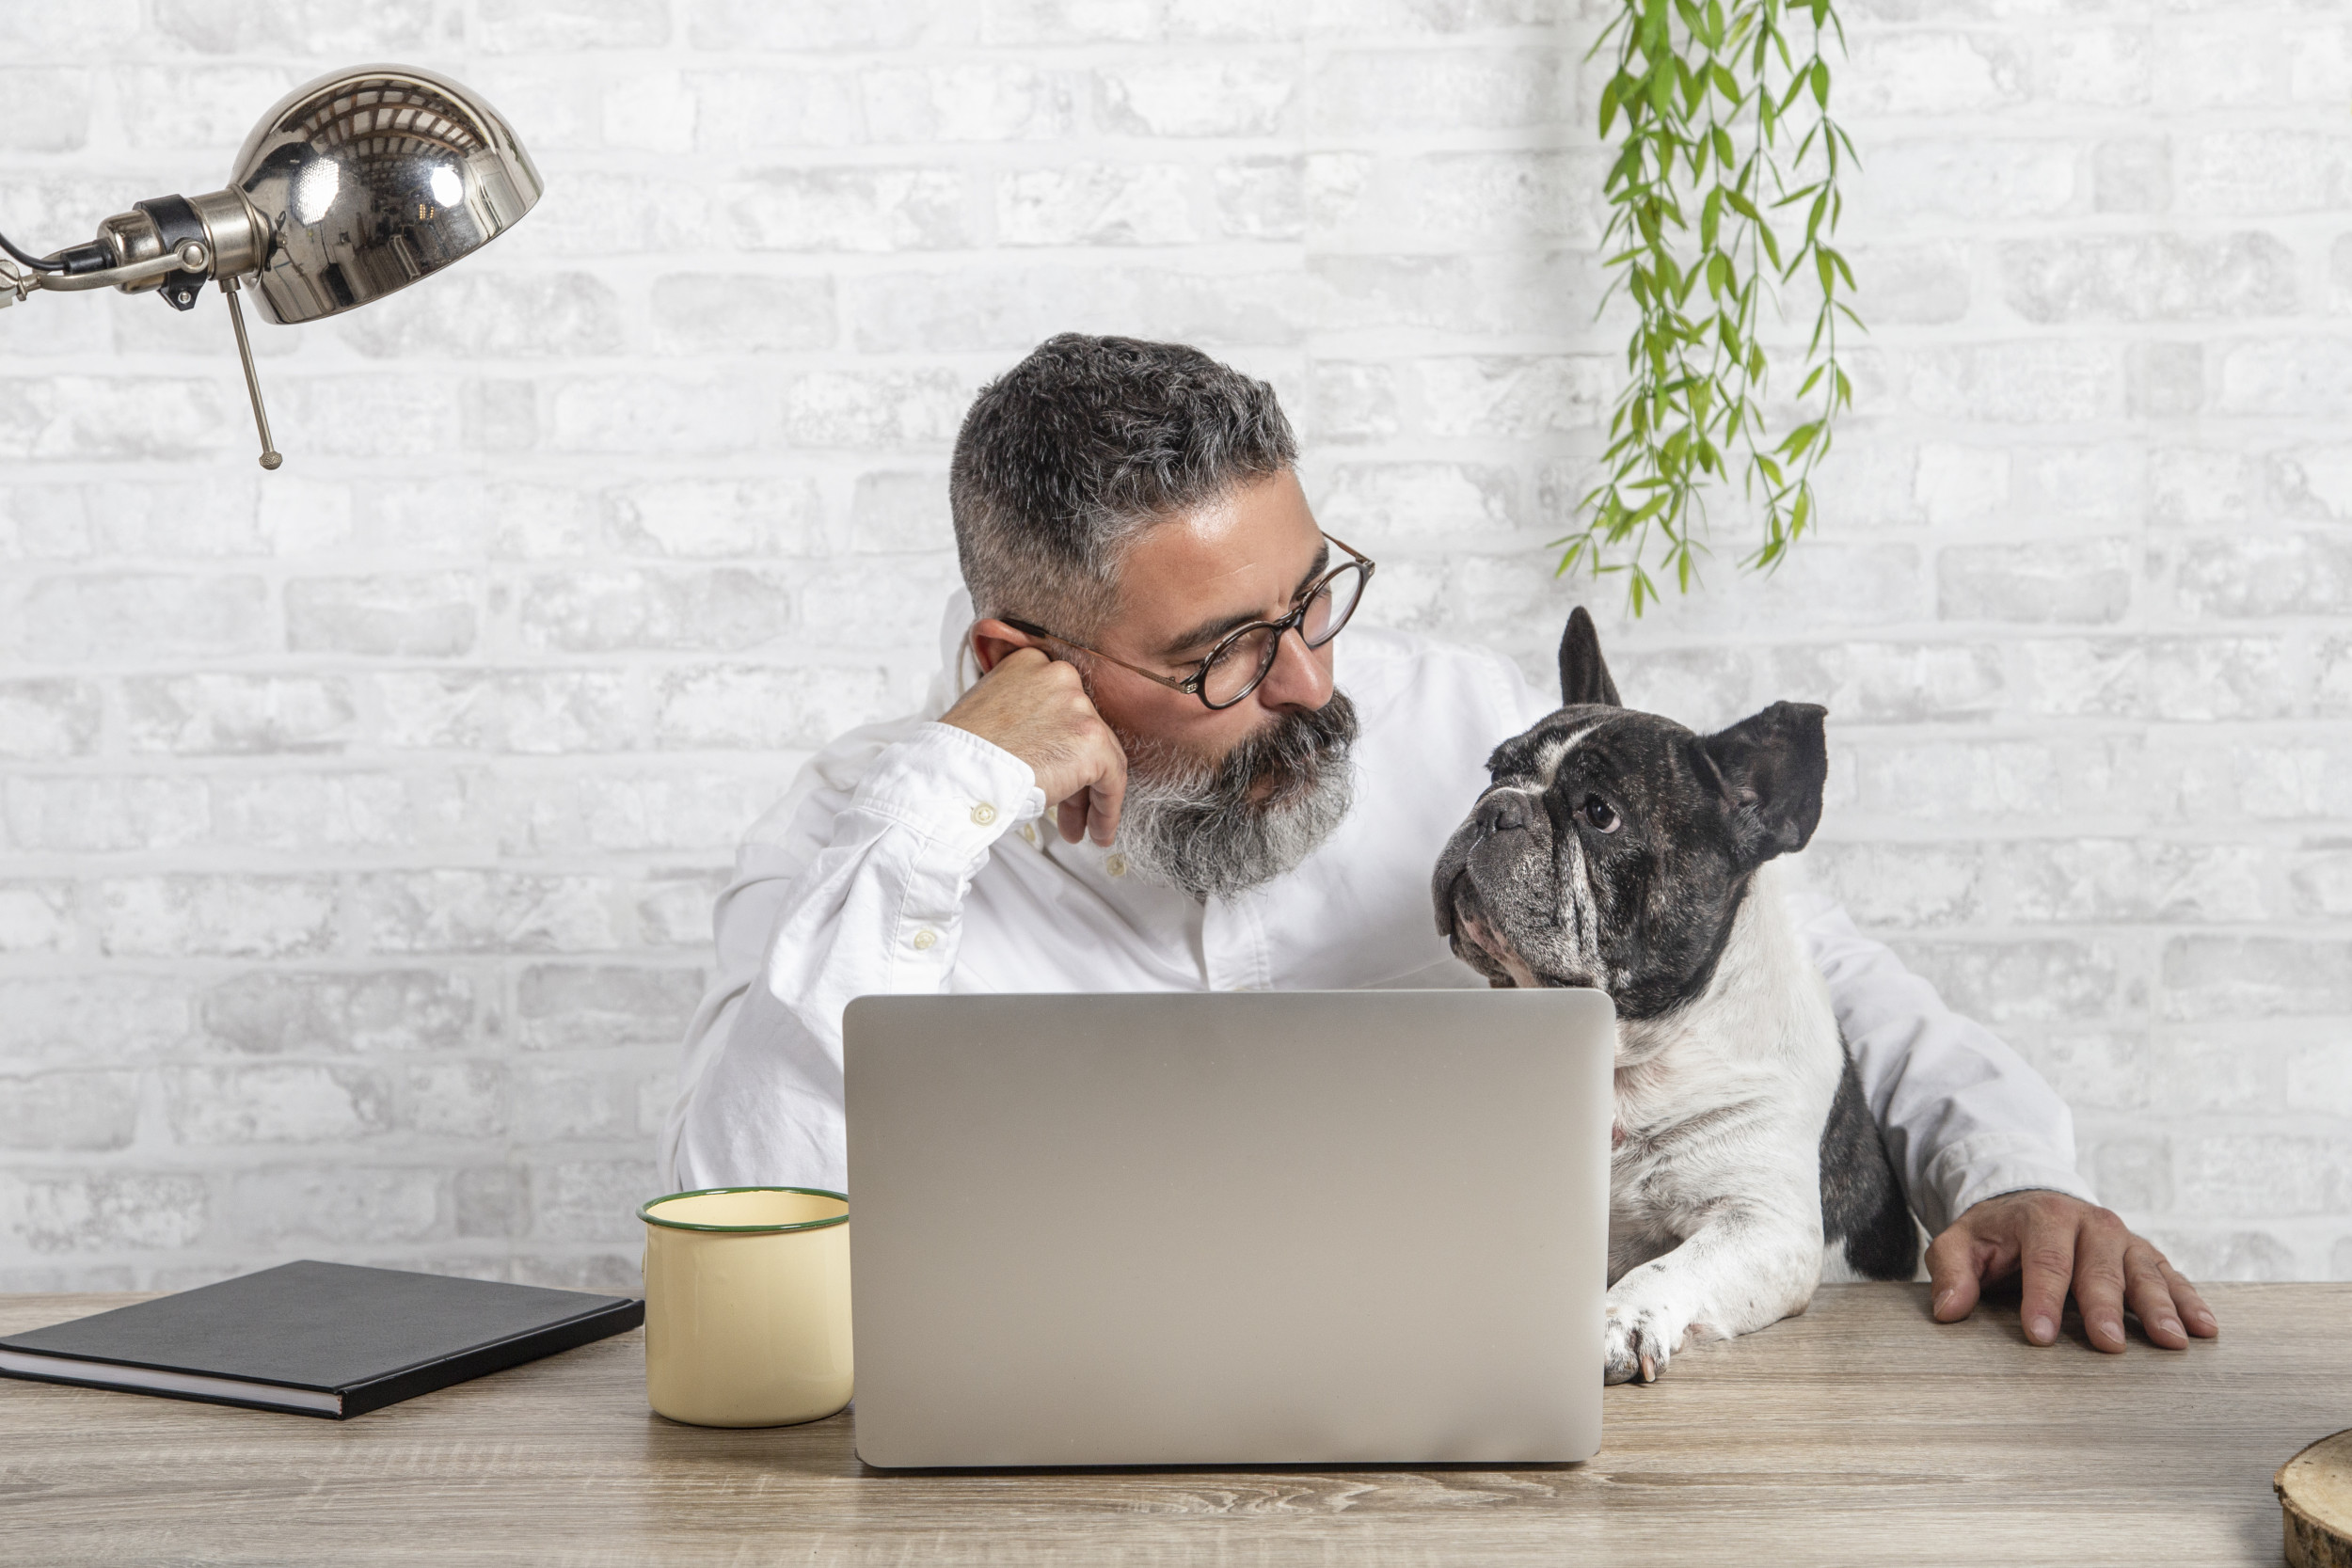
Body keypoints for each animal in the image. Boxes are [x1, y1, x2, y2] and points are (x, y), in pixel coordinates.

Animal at [1430, 606, 1910, 1382]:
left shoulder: (1762, 1221)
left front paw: (1618, 1318)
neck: (1630, 1053)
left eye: (1599, 813)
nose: (1496, 810)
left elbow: (1670, 1265)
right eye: (1494, 771)